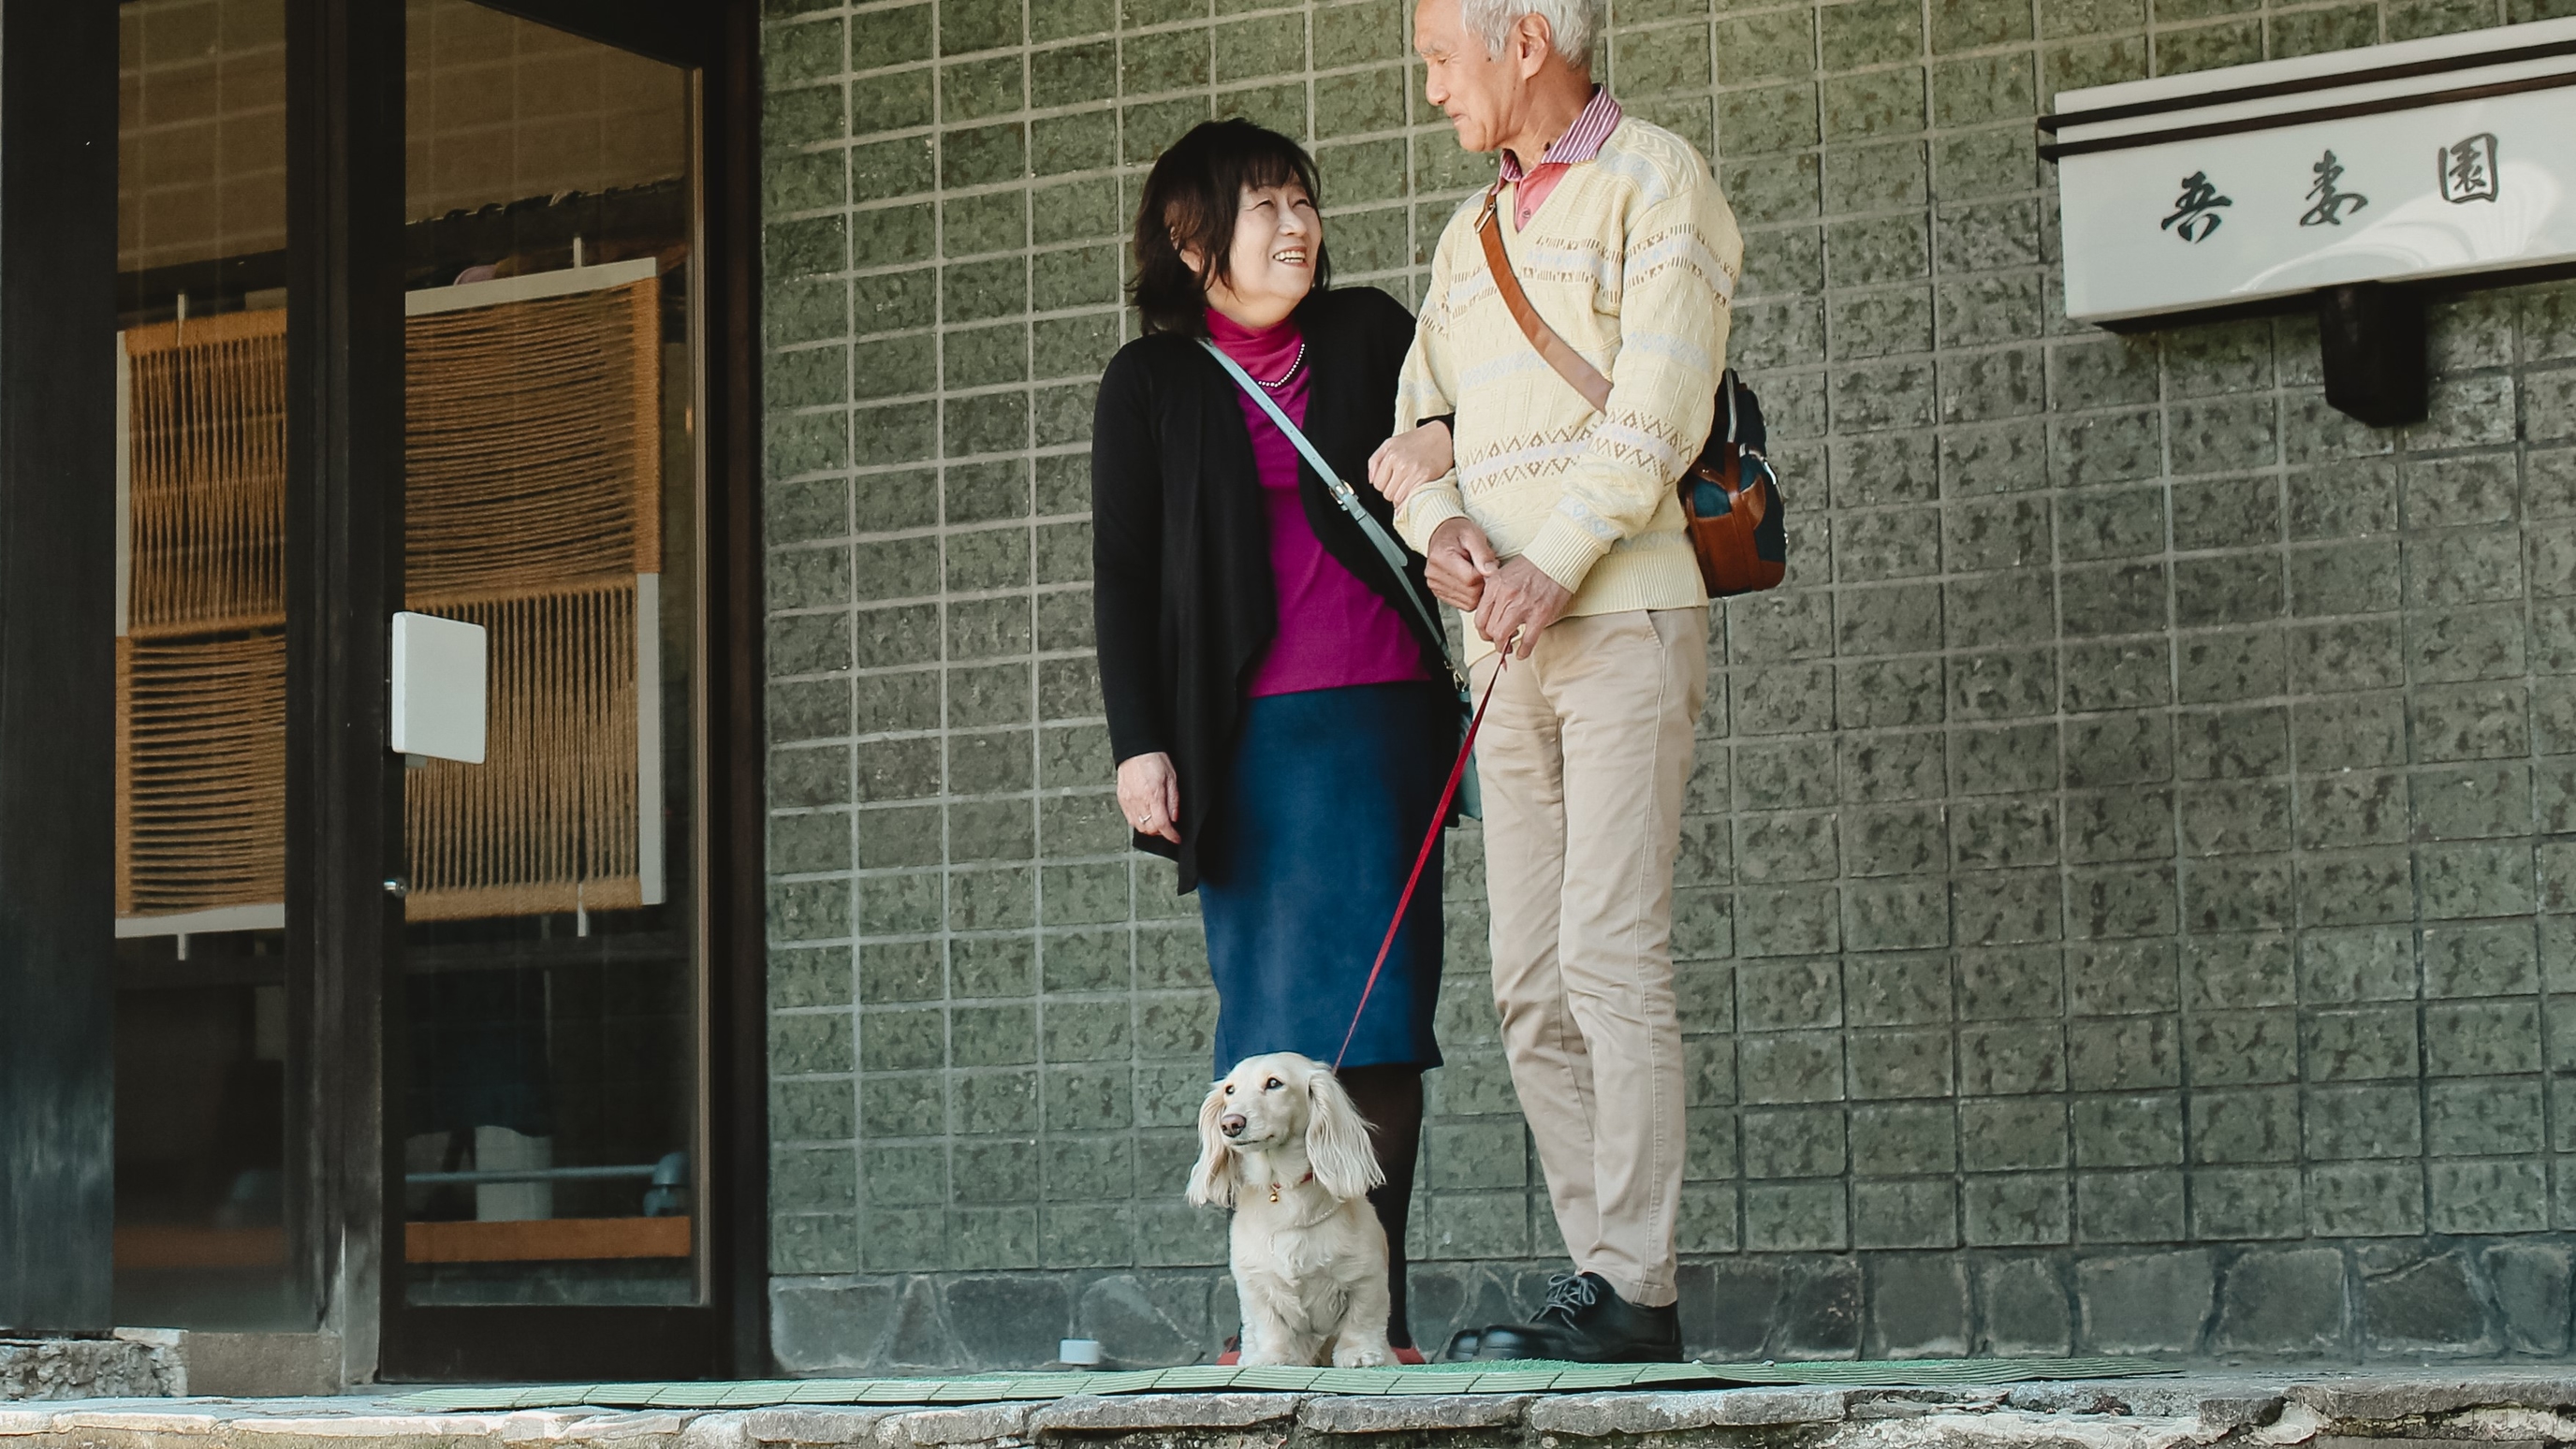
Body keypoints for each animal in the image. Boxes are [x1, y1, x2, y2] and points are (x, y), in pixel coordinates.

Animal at [1179, 1046, 1391, 1361]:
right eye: (1230, 1090)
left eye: (1274, 1083)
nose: (1230, 1124)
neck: (1286, 1192)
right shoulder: (1256, 1285)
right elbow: (1271, 1325)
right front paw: (1273, 1358)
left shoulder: (1365, 1276)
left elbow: (1362, 1317)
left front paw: (1359, 1353)